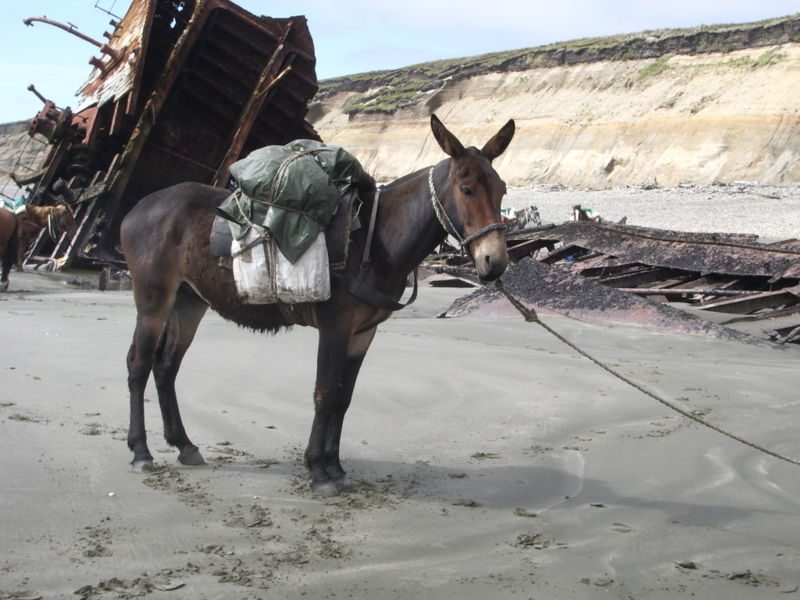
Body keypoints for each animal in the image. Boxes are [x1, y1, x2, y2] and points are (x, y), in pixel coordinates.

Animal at [122, 115, 516, 494]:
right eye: (466, 189)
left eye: (501, 190)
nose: (494, 262)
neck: (374, 240)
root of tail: (139, 207)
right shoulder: (335, 328)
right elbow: (324, 393)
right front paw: (318, 471)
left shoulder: (363, 333)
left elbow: (343, 398)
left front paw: (335, 466)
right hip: (154, 298)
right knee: (139, 364)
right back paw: (141, 452)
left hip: (189, 301)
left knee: (166, 365)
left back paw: (184, 445)